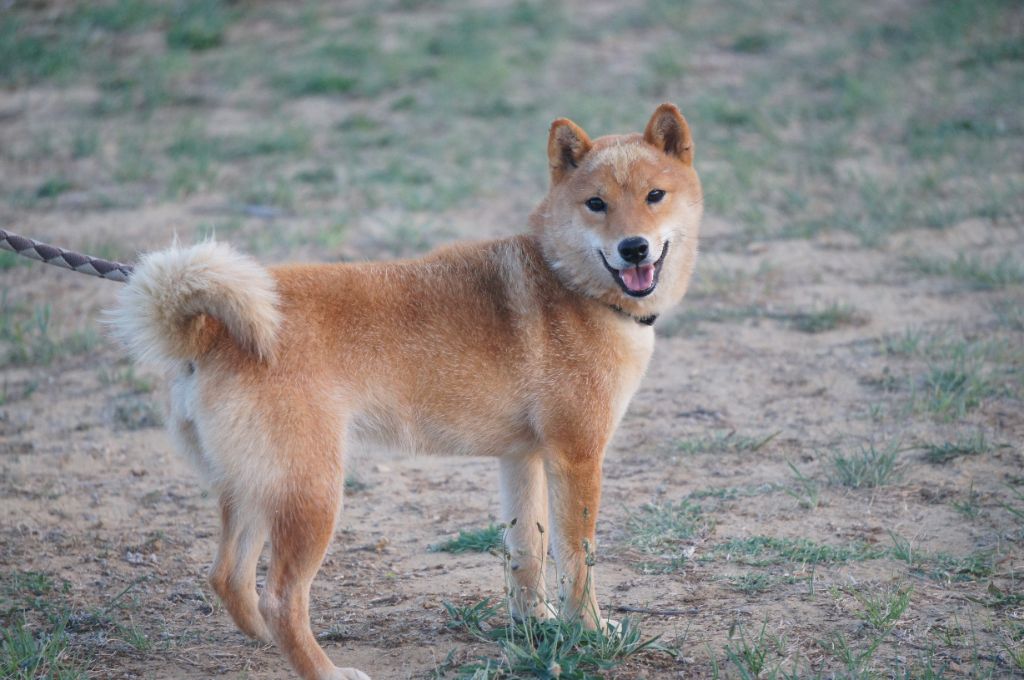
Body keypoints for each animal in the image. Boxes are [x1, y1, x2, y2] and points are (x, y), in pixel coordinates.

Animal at [109, 103, 702, 680]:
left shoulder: (522, 458)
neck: (568, 282)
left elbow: (526, 553)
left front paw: (536, 623)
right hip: (313, 494)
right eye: (595, 204)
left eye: (654, 196)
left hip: (258, 488)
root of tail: (211, 332)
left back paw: (263, 641)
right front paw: (591, 631)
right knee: (281, 598)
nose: (633, 248)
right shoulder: (576, 458)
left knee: (229, 578)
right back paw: (326, 671)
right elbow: (578, 562)